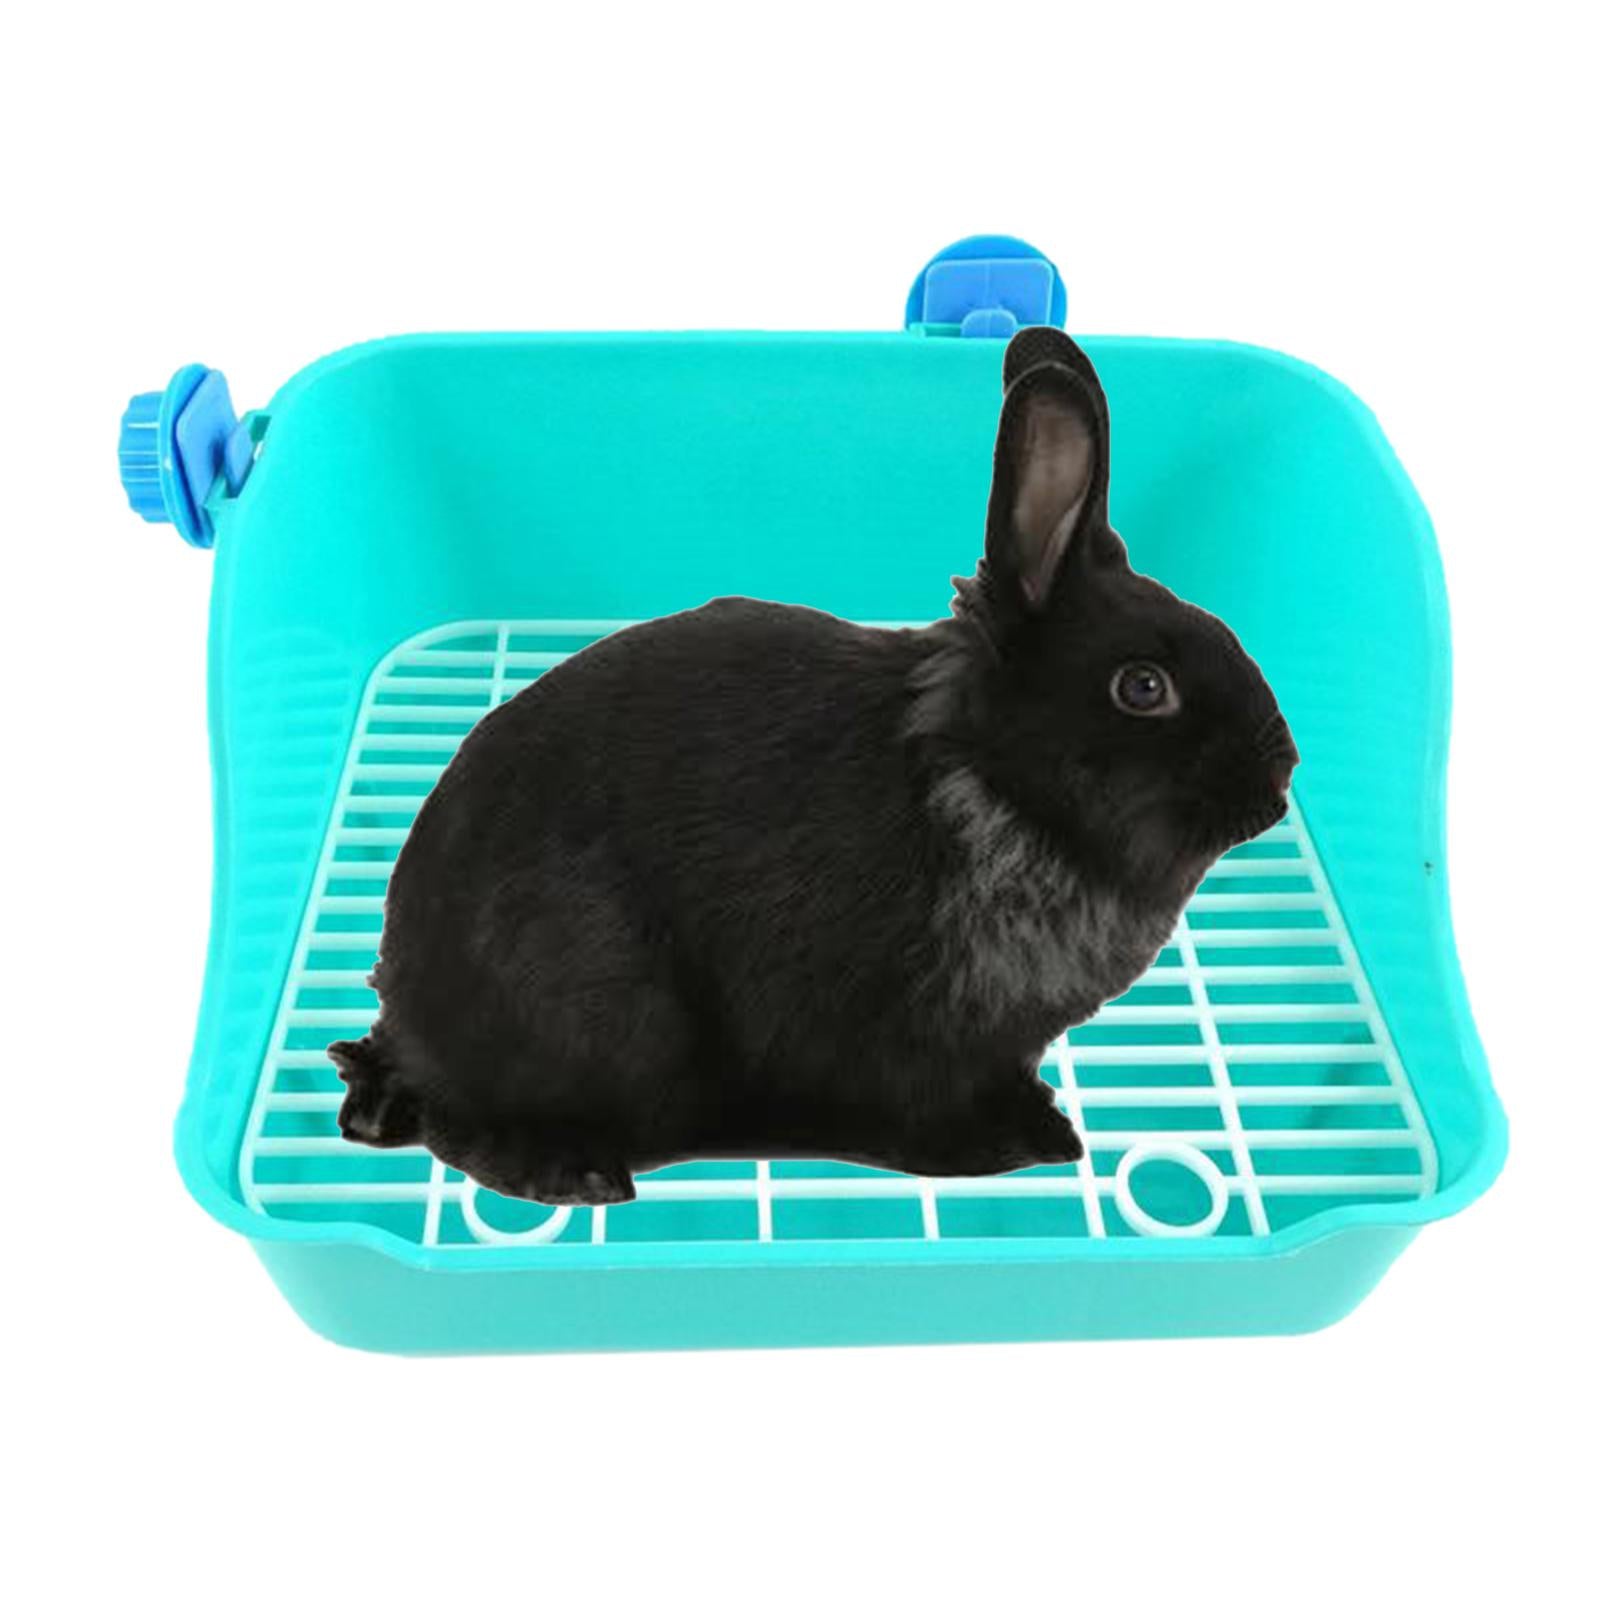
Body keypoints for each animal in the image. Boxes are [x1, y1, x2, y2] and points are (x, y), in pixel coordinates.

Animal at [332, 326, 1299, 1205]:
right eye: (1143, 687)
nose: (1281, 782)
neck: (988, 790)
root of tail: (405, 1016)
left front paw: (1043, 1119)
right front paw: (1015, 1145)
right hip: (599, 1014)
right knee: (461, 1125)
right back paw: (579, 1176)